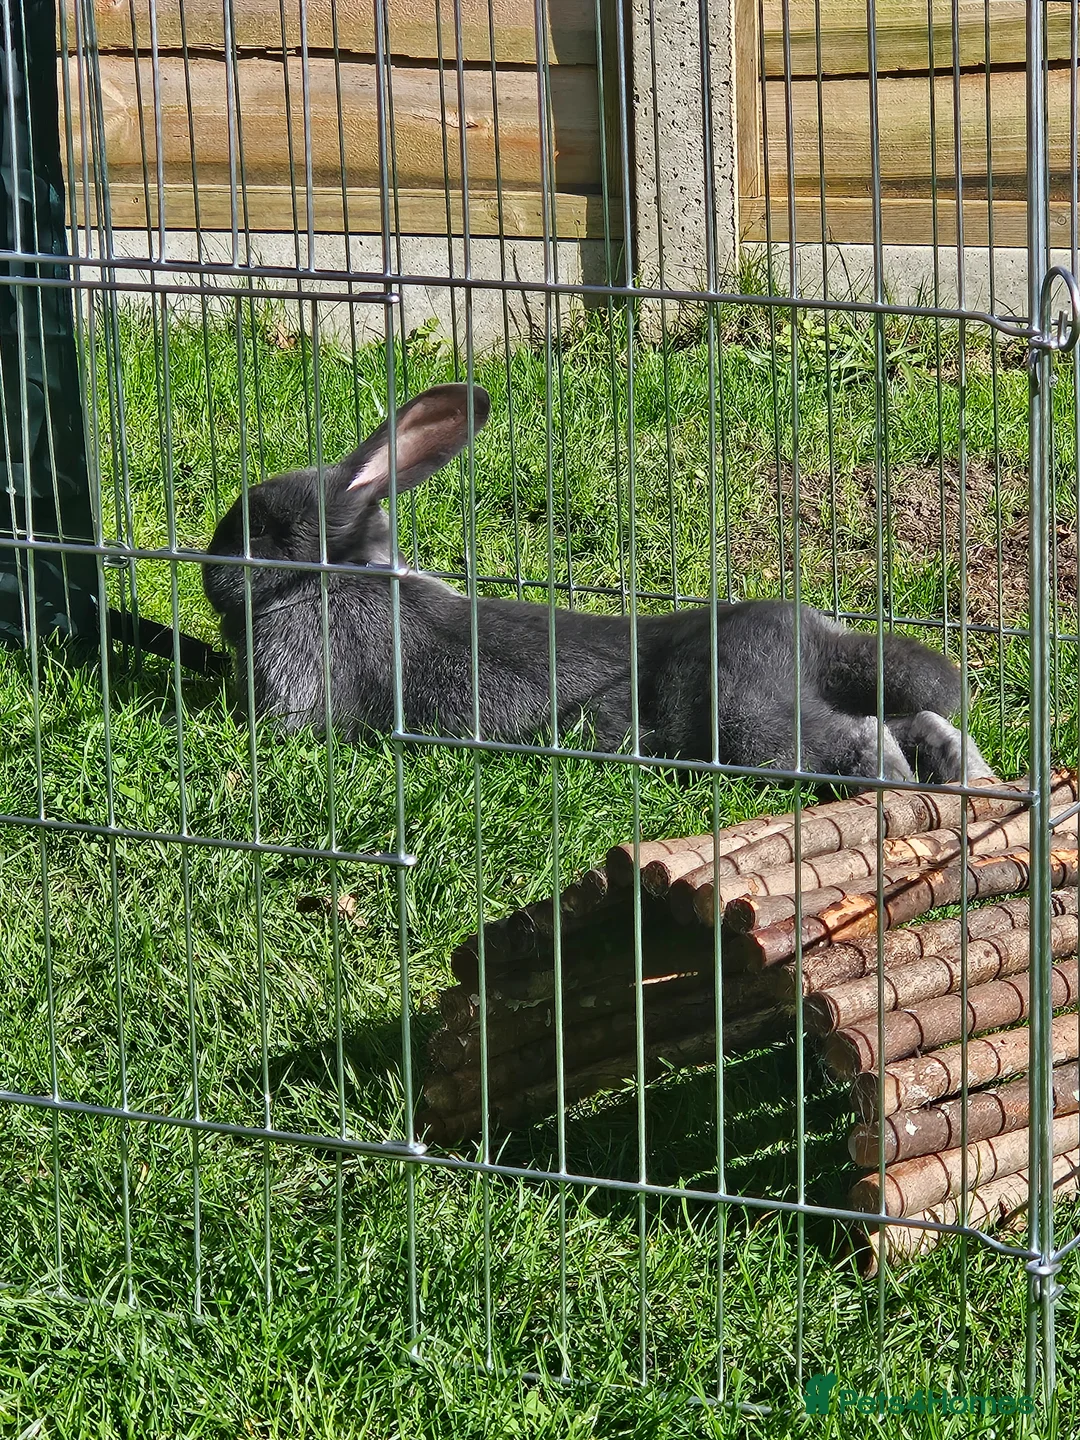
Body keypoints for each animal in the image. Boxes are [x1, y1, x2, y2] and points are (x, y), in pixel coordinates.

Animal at [202, 382, 994, 786]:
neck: (330, 577)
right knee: (921, 723)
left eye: (257, 528)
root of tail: (803, 634)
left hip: (749, 722)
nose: (210, 568)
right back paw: (966, 773)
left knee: (858, 742)